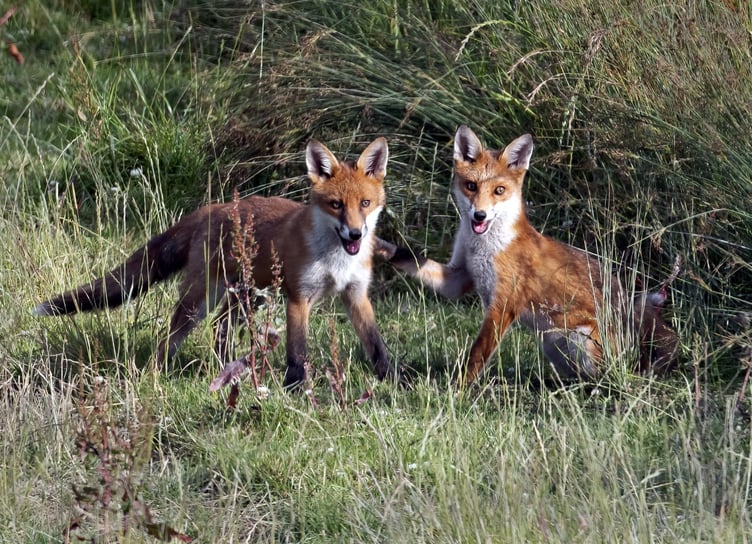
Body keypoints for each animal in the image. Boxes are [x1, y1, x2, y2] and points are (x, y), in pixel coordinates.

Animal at [35, 137, 396, 387]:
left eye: (365, 203)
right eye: (336, 205)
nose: (355, 234)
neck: (336, 259)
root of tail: (210, 209)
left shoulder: (356, 294)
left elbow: (377, 346)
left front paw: (394, 381)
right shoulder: (299, 296)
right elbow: (297, 353)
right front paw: (295, 389)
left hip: (248, 296)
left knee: (219, 329)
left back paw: (228, 371)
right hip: (200, 300)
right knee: (171, 338)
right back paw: (156, 374)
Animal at [379, 125, 678, 385]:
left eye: (499, 191)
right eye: (471, 186)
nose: (479, 216)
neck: (486, 247)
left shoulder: (503, 305)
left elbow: (476, 355)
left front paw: (458, 389)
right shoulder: (458, 277)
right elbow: (409, 258)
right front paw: (380, 247)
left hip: (579, 340)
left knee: (607, 379)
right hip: (552, 344)